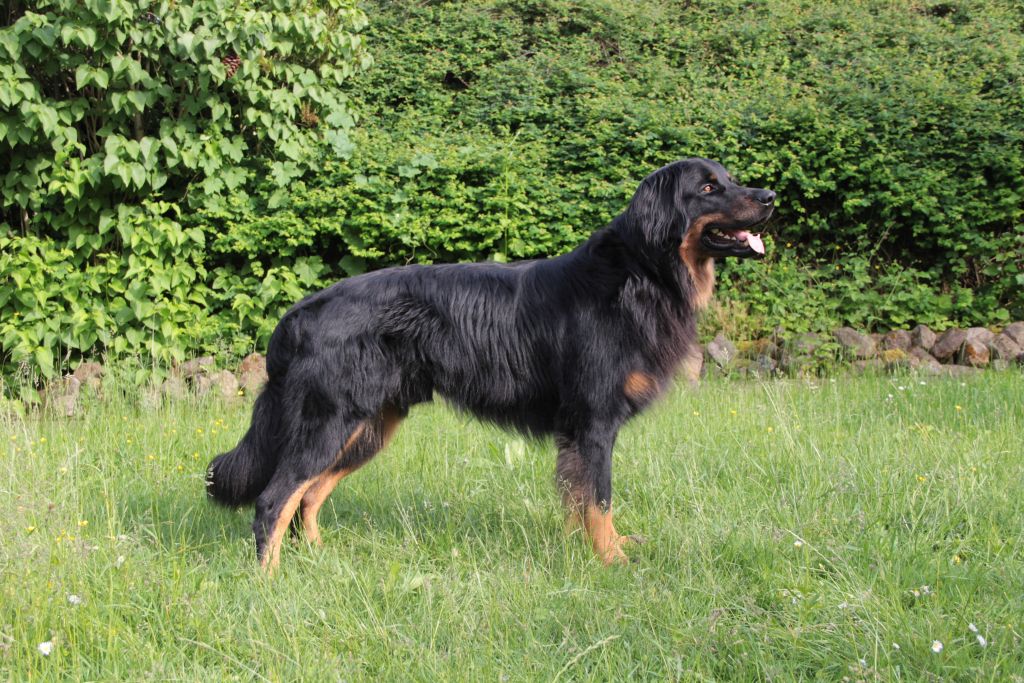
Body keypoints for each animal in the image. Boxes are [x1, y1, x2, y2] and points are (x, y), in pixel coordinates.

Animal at [207, 158, 775, 570]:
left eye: (730, 179)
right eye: (709, 188)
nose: (770, 198)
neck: (640, 273)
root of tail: (300, 312)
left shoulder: (578, 433)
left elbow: (580, 501)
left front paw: (589, 553)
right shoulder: (594, 423)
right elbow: (600, 499)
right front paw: (611, 560)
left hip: (367, 425)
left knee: (307, 497)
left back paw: (321, 561)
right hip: (331, 420)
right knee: (274, 499)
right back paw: (269, 579)